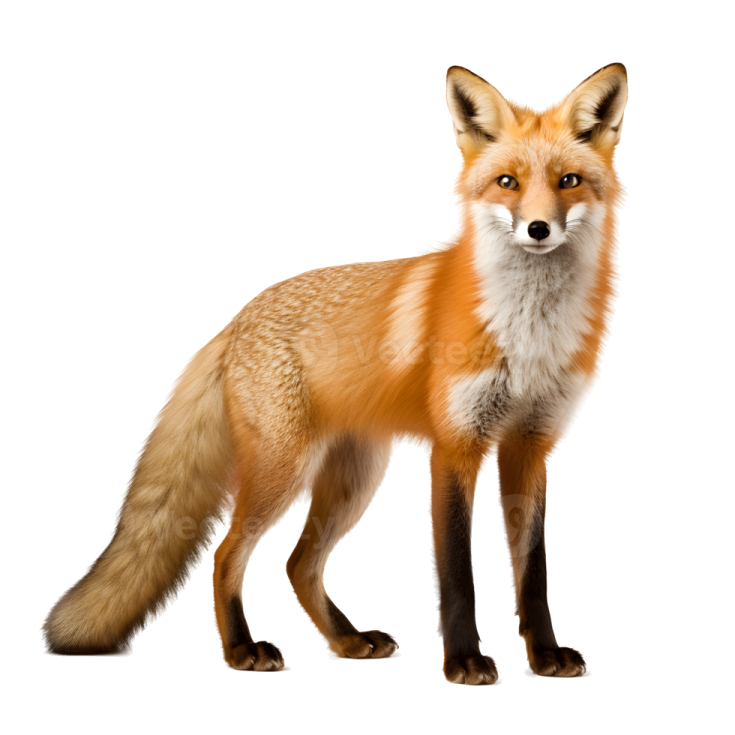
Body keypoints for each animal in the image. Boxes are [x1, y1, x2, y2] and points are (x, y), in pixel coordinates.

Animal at [43, 63, 628, 683]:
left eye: (568, 181)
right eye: (507, 183)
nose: (538, 228)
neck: (527, 338)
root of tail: (236, 319)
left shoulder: (531, 447)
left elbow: (532, 573)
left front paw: (545, 656)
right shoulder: (456, 449)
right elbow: (456, 573)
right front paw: (465, 660)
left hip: (355, 481)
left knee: (299, 565)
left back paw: (347, 642)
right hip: (284, 473)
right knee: (227, 555)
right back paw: (243, 650)